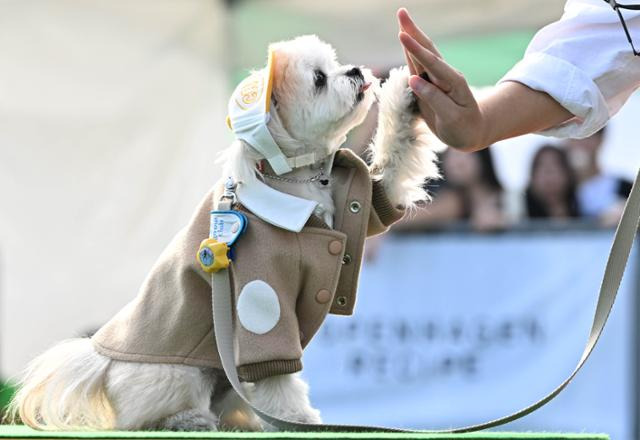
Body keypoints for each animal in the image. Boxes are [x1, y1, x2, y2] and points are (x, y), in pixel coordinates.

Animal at [8, 35, 440, 434]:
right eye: (319, 79)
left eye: (334, 65)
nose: (354, 71)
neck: (294, 177)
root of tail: (101, 360)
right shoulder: (259, 293)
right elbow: (276, 369)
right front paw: (297, 419)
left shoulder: (370, 203)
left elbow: (394, 162)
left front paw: (404, 94)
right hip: (177, 374)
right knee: (150, 414)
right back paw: (187, 420)